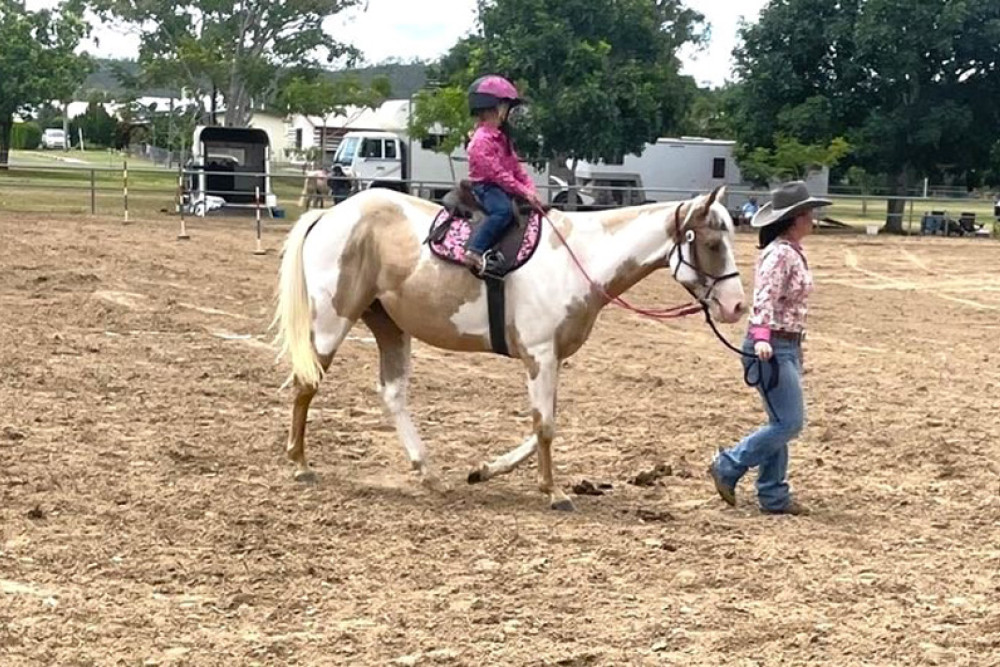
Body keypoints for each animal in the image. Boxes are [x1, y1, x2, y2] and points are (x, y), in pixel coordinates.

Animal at [270, 187, 748, 512]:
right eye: (711, 243)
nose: (737, 305)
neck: (579, 259)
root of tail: (331, 214)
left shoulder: (552, 360)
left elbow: (542, 426)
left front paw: (485, 469)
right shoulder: (539, 356)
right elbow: (546, 427)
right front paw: (554, 492)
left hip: (389, 326)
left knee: (392, 393)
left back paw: (429, 472)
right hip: (332, 323)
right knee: (307, 383)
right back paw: (300, 463)